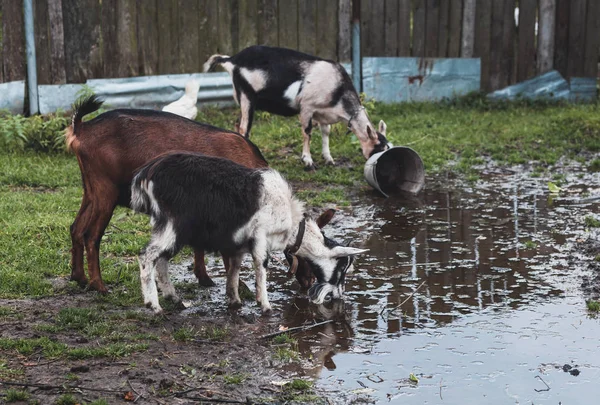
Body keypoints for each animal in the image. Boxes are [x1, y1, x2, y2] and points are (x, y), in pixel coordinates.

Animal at [65, 94, 272, 292]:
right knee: (91, 235)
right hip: (106, 190)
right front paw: (240, 287)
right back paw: (99, 286)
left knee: (76, 228)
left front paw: (204, 278)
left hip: (91, 190)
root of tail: (81, 128)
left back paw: (79, 278)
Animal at [129, 152, 368, 312]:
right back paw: (153, 305)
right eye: (342, 268)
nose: (339, 297)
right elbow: (261, 267)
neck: (291, 223)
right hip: (174, 224)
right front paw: (265, 305)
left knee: (161, 260)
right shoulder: (260, 237)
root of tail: (146, 174)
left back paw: (174, 299)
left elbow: (234, 269)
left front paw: (235, 300)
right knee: (147, 256)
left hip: (171, 228)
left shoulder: (239, 244)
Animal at [204, 45, 392, 169]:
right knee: (244, 128)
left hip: (244, 100)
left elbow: (326, 133)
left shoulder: (324, 113)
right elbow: (307, 132)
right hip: (247, 96)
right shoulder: (307, 107)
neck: (337, 89)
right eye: (379, 149)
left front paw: (328, 158)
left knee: (237, 124)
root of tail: (232, 60)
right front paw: (307, 160)